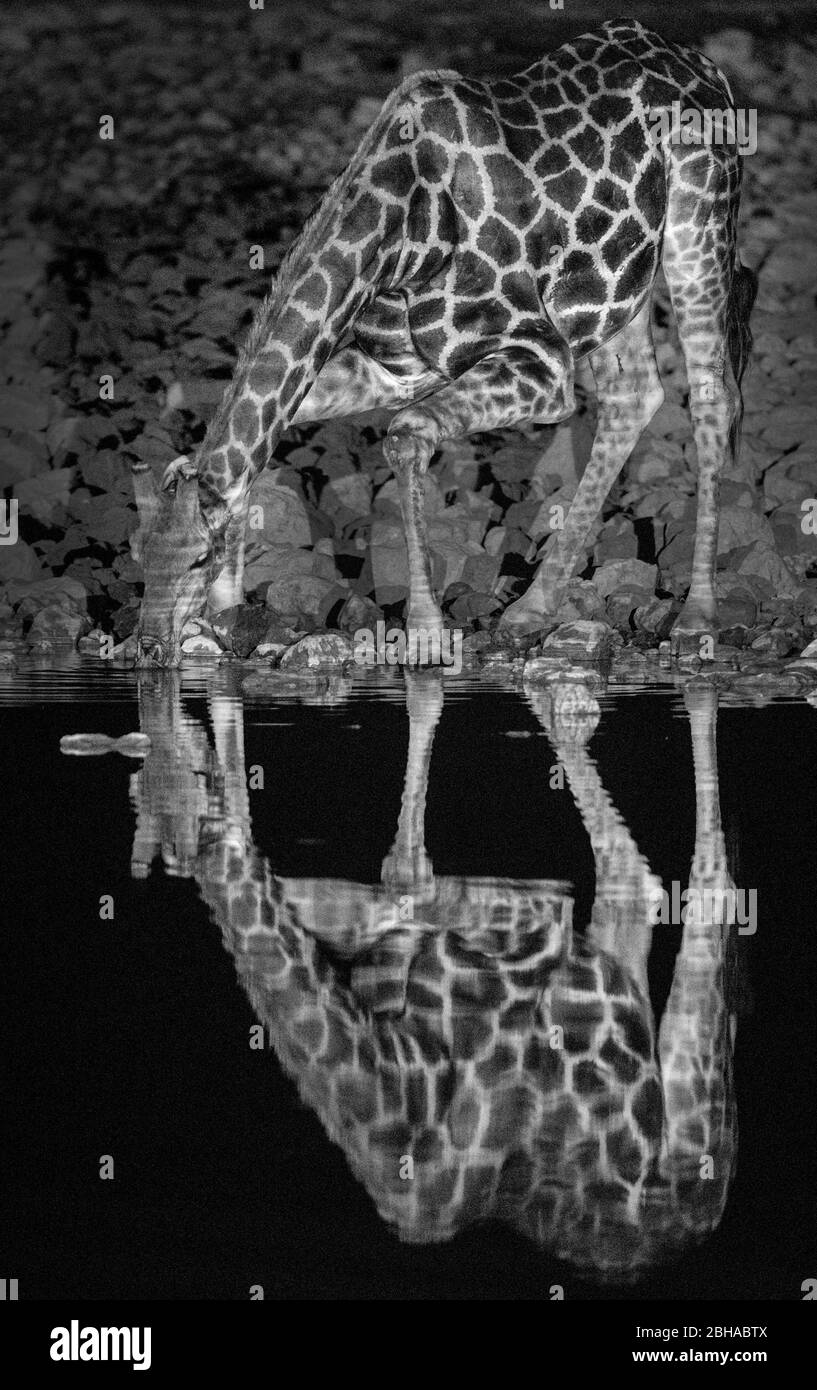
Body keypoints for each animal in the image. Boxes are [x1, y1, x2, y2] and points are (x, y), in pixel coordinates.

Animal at [67, 669, 744, 1278]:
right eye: (137, 788)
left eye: (171, 781)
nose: (163, 723)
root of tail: (689, 1224)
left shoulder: (538, 919)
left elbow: (417, 879)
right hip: (614, 965)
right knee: (634, 885)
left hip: (692, 1121)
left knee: (706, 888)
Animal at [130, 17, 761, 661]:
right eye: (139, 555)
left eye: (197, 558)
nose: (149, 644)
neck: (401, 240)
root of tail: (706, 65)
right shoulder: (398, 368)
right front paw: (227, 611)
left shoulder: (542, 361)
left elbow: (406, 437)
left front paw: (426, 633)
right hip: (616, 285)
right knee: (634, 396)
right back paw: (532, 609)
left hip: (698, 225)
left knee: (712, 395)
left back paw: (696, 619)